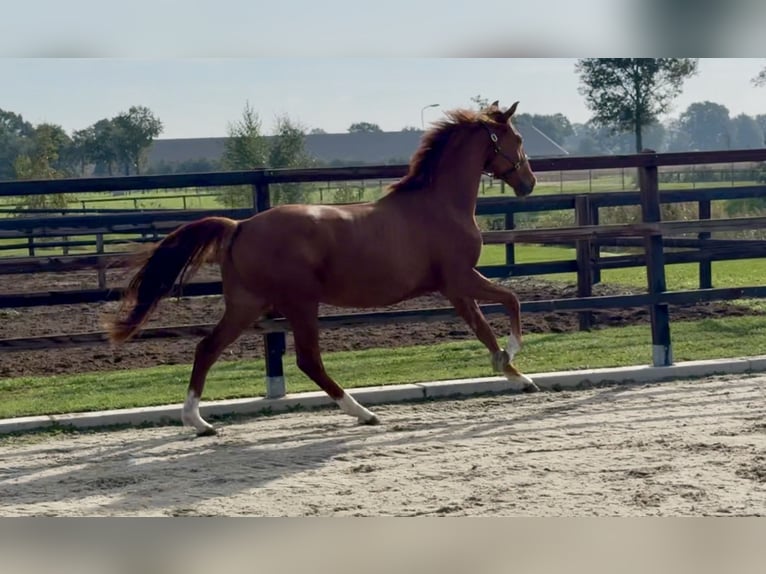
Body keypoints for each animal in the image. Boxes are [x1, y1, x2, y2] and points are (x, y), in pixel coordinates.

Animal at [107, 100, 538, 436]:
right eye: (518, 140)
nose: (529, 183)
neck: (439, 205)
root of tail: (240, 226)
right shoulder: (461, 277)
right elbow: (511, 301)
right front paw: (514, 359)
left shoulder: (454, 288)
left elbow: (483, 328)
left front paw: (516, 374)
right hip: (300, 303)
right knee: (307, 359)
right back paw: (363, 412)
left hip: (247, 304)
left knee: (207, 348)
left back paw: (198, 422)